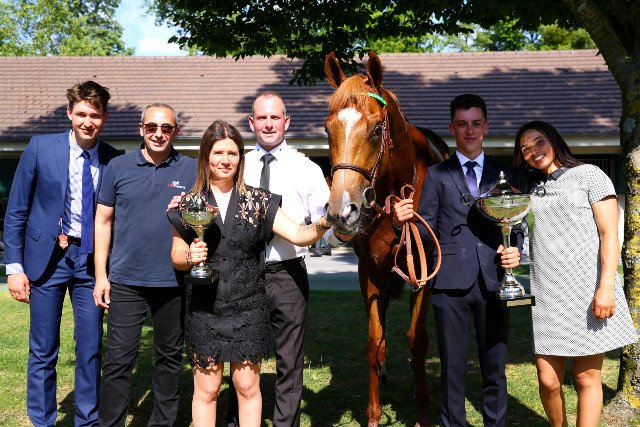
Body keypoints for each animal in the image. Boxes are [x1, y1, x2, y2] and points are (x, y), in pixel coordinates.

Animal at [323, 51, 448, 427]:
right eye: (327, 129)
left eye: (378, 129)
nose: (342, 210)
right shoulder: (371, 272)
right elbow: (374, 342)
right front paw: (374, 415)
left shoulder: (425, 274)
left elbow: (417, 340)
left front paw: (423, 413)